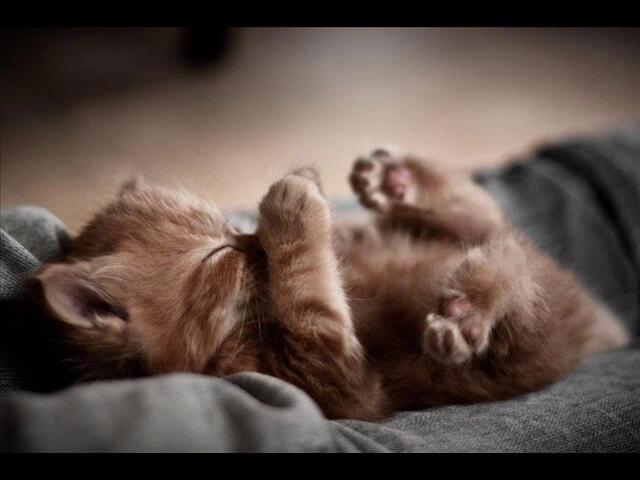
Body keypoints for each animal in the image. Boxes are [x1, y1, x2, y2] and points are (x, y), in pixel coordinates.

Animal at [33, 149, 630, 420]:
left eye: (227, 228)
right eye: (223, 254)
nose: (253, 239)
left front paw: (305, 204)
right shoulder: (332, 376)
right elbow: (306, 287)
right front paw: (291, 203)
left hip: (481, 239)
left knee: (474, 213)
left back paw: (395, 182)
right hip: (521, 332)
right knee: (503, 276)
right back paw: (465, 313)